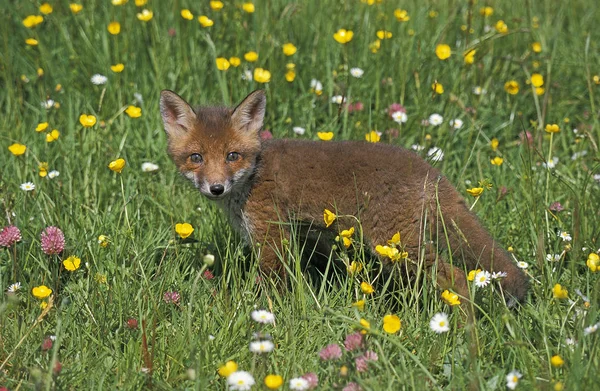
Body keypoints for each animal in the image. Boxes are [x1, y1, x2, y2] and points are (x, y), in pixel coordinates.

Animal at [161, 90, 528, 304]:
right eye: (196, 157)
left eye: (232, 156)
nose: (216, 188)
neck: (253, 176)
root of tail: (430, 170)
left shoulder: (272, 238)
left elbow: (272, 290)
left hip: (398, 248)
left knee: (458, 281)